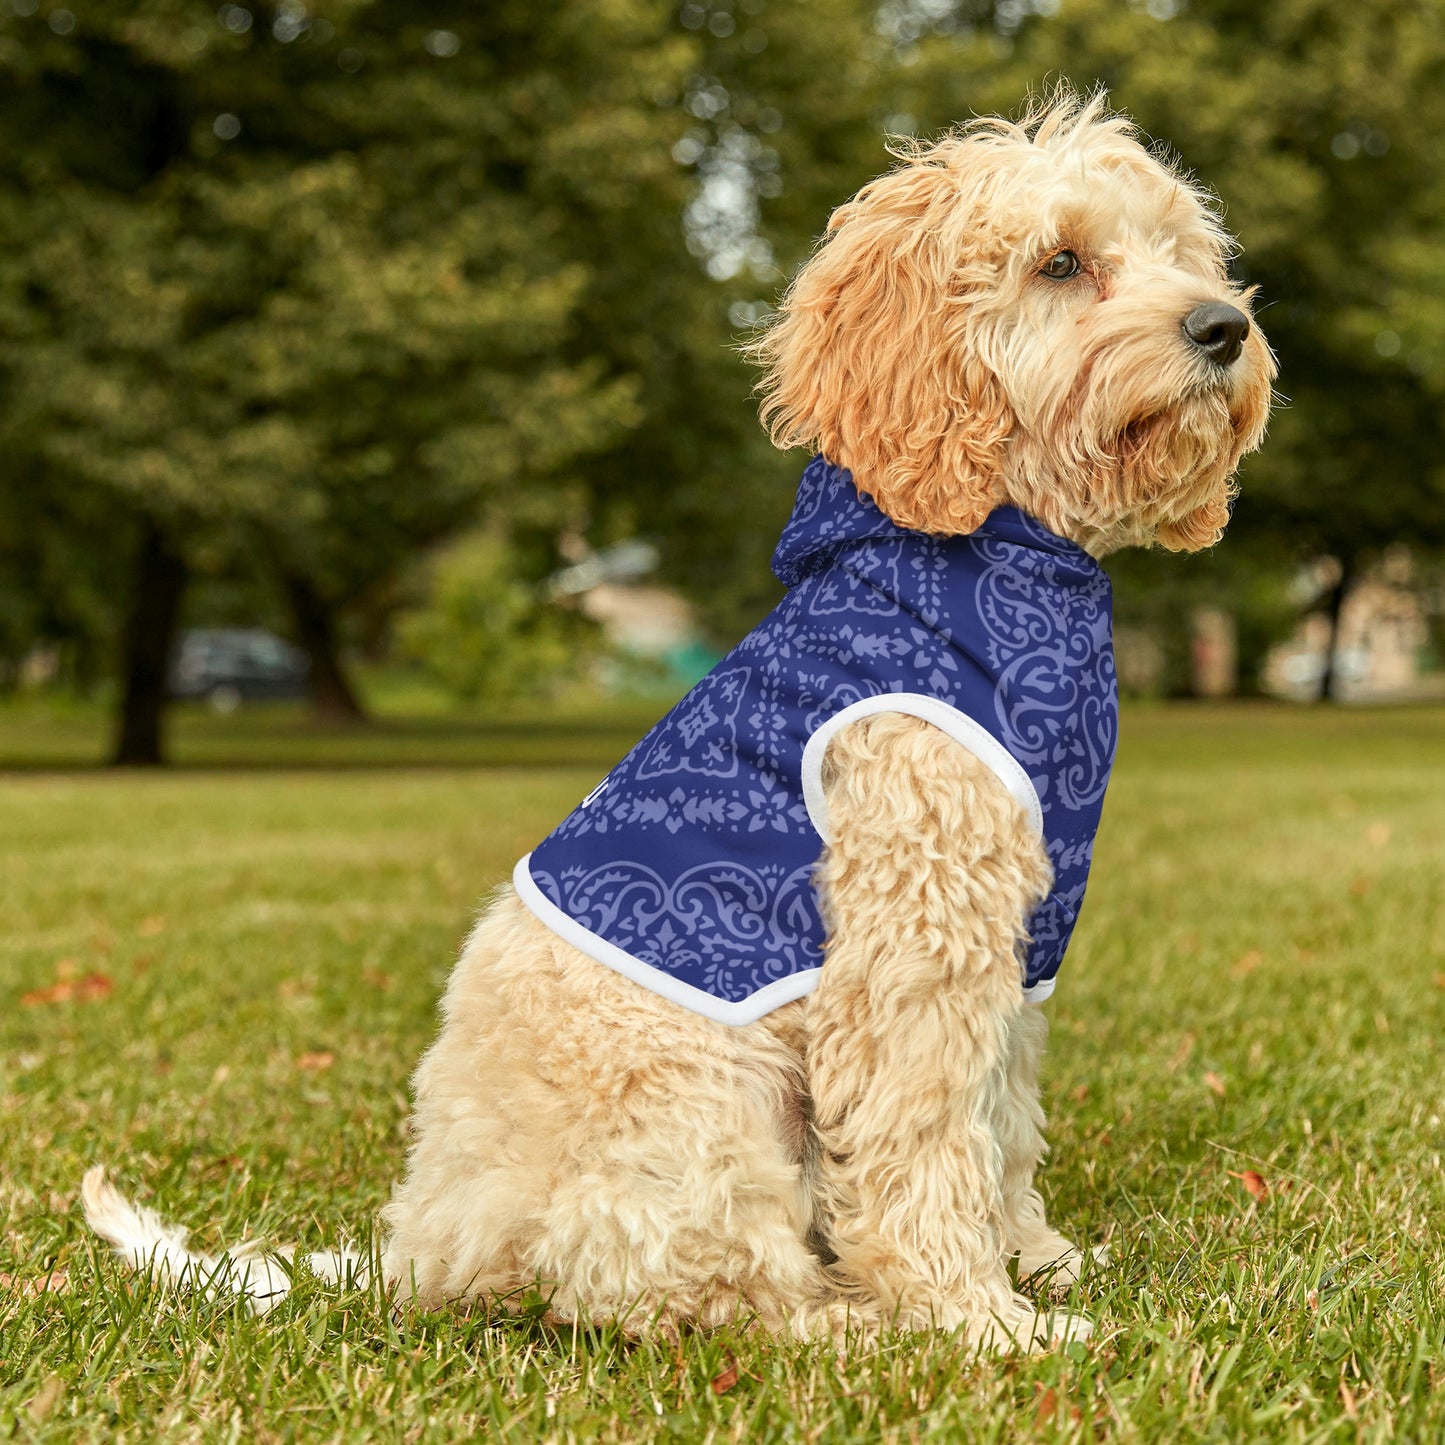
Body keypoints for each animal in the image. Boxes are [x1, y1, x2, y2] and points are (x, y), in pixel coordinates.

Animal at [84, 93, 1271, 1352]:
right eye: (1059, 262)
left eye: (1180, 252)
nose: (1222, 327)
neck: (990, 560)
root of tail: (423, 1246)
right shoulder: (912, 937)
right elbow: (924, 1137)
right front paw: (976, 1318)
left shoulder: (1015, 943)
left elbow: (998, 1120)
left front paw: (1035, 1260)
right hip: (703, 1100)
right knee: (699, 1290)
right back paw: (852, 1322)